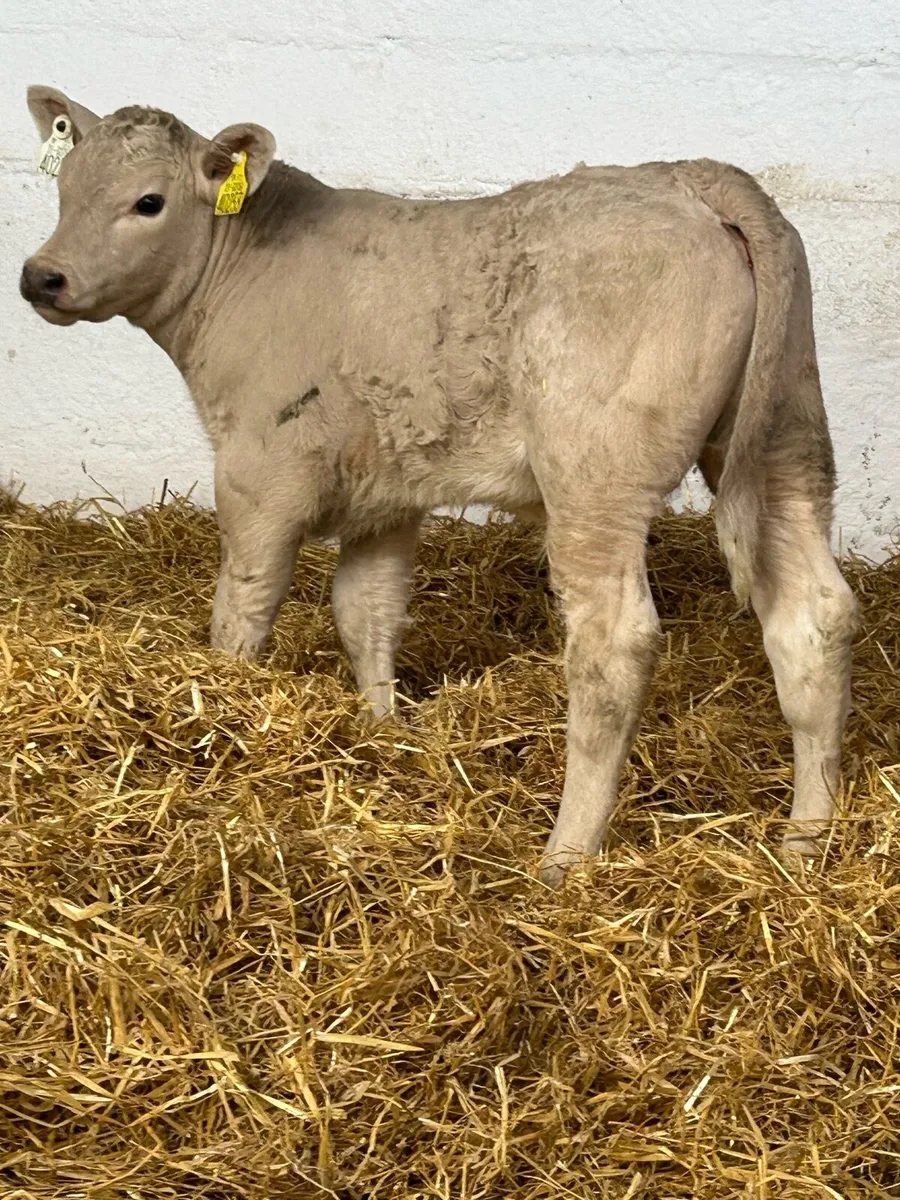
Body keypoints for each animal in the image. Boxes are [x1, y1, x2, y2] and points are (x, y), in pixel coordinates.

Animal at [20, 86, 857, 884]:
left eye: (148, 202)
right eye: (65, 185)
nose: (41, 276)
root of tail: (689, 175)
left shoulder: (262, 475)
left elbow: (243, 612)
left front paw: (220, 699)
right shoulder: (385, 492)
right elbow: (366, 611)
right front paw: (382, 730)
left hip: (596, 474)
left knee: (614, 646)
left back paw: (565, 858)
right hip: (786, 437)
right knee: (813, 614)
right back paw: (804, 845)